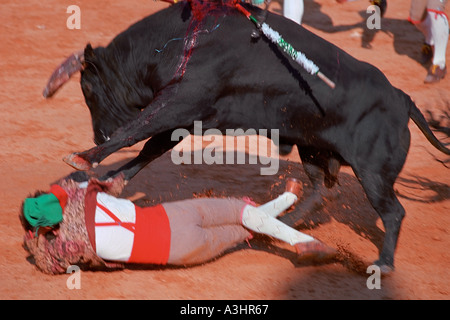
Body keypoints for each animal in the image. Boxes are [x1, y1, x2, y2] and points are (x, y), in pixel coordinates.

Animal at [43, 3, 450, 272]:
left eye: (88, 90)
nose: (99, 132)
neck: (181, 41)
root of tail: (402, 99)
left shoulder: (181, 102)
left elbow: (136, 132)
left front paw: (85, 157)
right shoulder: (185, 117)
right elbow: (148, 148)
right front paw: (110, 180)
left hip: (374, 173)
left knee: (393, 212)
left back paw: (383, 264)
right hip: (313, 149)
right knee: (319, 189)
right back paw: (289, 223)